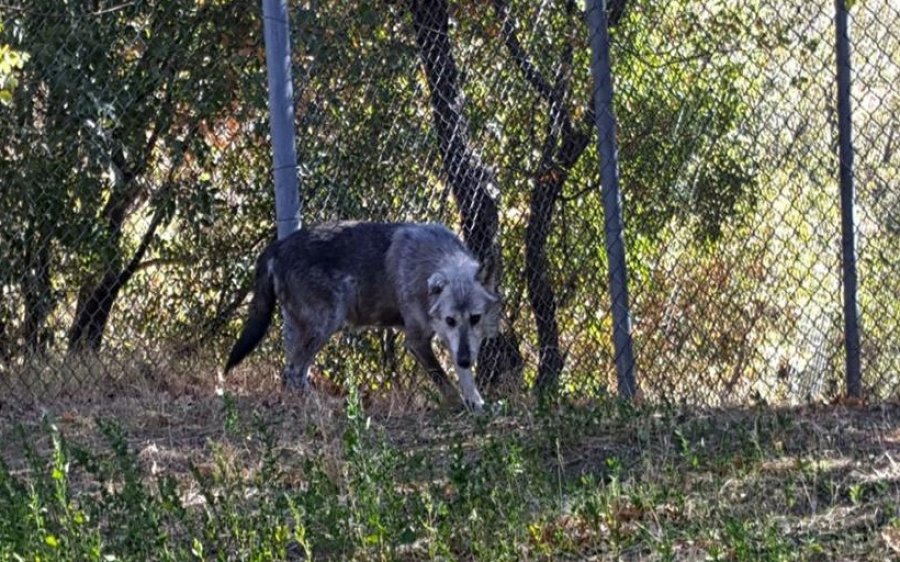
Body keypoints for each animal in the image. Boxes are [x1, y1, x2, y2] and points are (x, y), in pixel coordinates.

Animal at [224, 221, 500, 410]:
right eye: (451, 320)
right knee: (293, 372)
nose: (465, 359)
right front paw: (460, 405)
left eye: (475, 318)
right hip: (327, 324)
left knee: (291, 372)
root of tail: (277, 246)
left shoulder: (455, 343)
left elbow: (464, 377)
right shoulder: (417, 341)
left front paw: (476, 402)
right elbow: (445, 382)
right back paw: (323, 406)